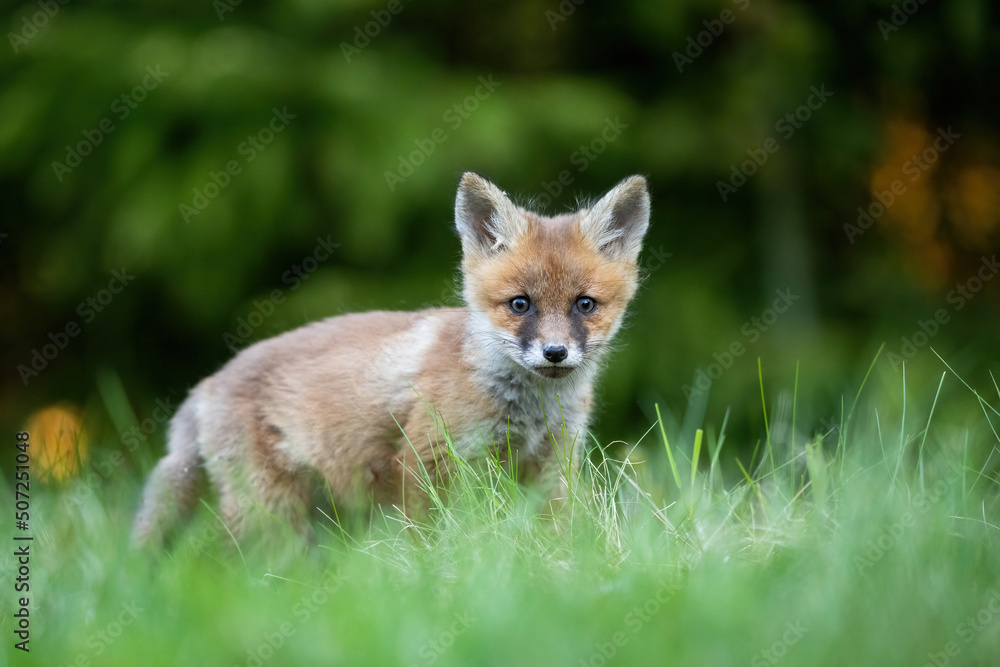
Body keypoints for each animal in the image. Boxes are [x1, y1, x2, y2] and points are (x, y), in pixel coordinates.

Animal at [133, 172, 650, 547]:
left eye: (585, 305)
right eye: (520, 305)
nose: (555, 353)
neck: (528, 408)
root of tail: (208, 382)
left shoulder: (553, 465)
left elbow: (556, 536)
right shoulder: (426, 459)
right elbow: (430, 542)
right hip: (272, 511)